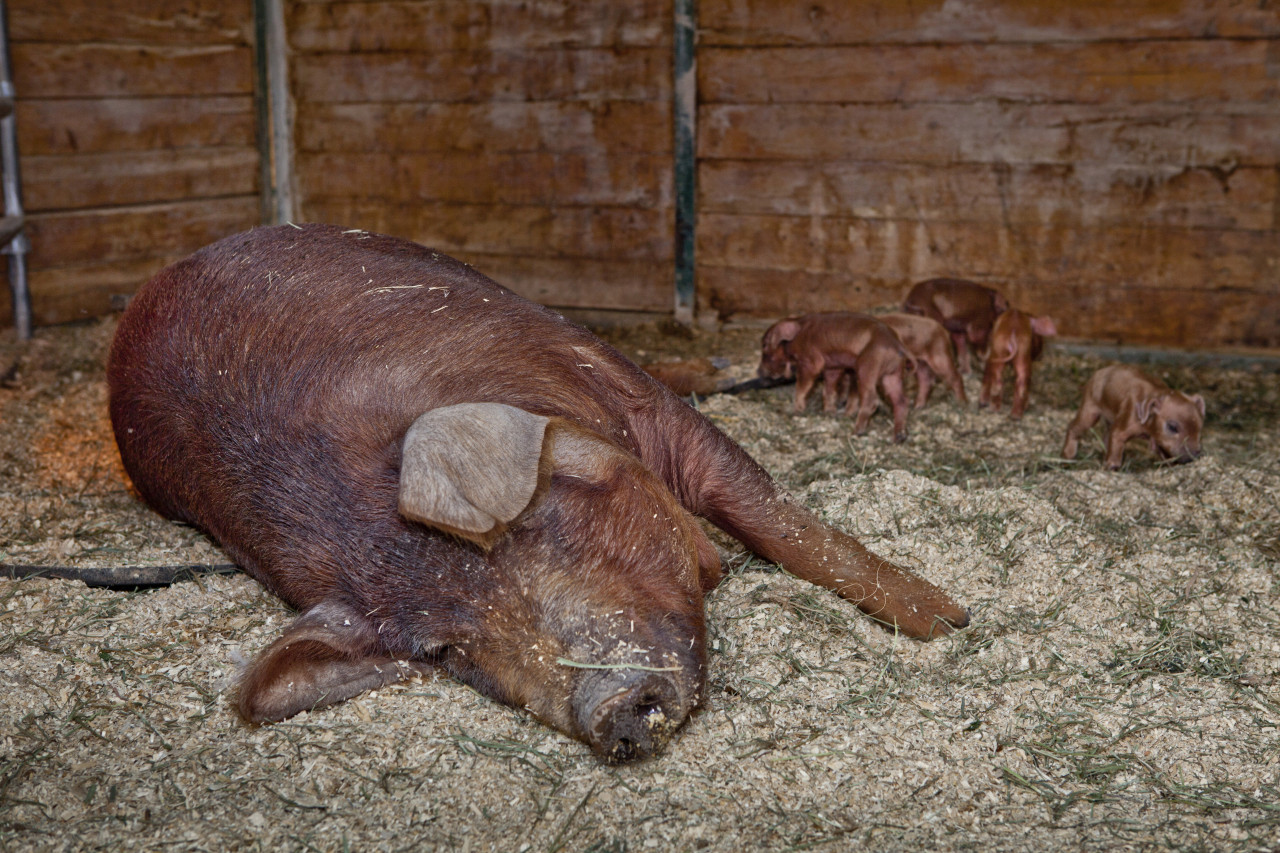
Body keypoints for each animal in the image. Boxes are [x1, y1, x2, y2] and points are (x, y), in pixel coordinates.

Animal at [757, 312, 911, 445]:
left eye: (764, 345)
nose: (758, 371)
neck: (794, 338)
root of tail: (897, 346)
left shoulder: (810, 361)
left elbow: (802, 387)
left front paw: (796, 411)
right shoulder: (832, 367)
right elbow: (829, 389)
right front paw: (829, 412)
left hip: (868, 366)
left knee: (871, 400)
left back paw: (855, 432)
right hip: (892, 375)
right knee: (901, 401)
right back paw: (898, 438)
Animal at [1064, 363, 1203, 468]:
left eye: (1199, 428)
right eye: (1172, 427)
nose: (1195, 455)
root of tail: (1099, 372)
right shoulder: (1127, 420)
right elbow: (1116, 438)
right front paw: (1111, 466)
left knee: (1105, 435)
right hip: (1089, 407)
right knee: (1073, 426)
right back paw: (1068, 456)